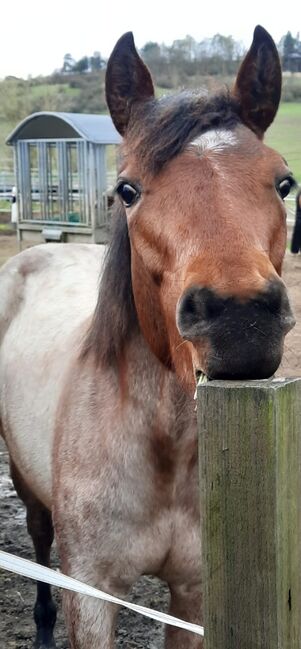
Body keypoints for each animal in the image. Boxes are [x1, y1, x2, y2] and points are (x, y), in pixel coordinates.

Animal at [0, 25, 296, 648]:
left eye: (284, 182)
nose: (240, 319)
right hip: (26, 486)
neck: (167, 449)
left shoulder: (194, 594)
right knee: (37, 539)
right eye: (128, 189)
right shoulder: (90, 594)